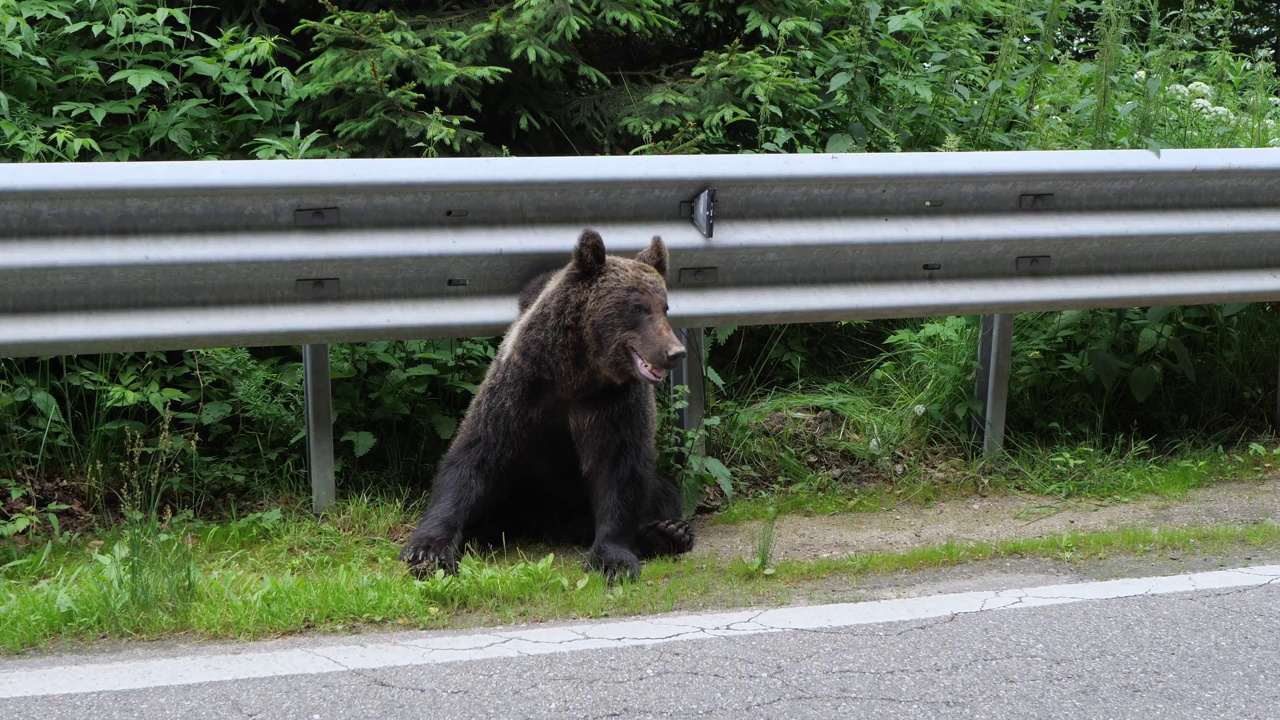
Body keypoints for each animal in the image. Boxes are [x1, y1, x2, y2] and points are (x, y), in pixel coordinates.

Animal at [401, 226, 696, 579]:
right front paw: (428, 549)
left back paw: (667, 532)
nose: (675, 352)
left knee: (662, 490)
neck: (578, 372)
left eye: (665, 306)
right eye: (637, 307)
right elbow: (475, 454)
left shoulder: (614, 403)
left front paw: (614, 559)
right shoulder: (522, 388)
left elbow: (620, 468)